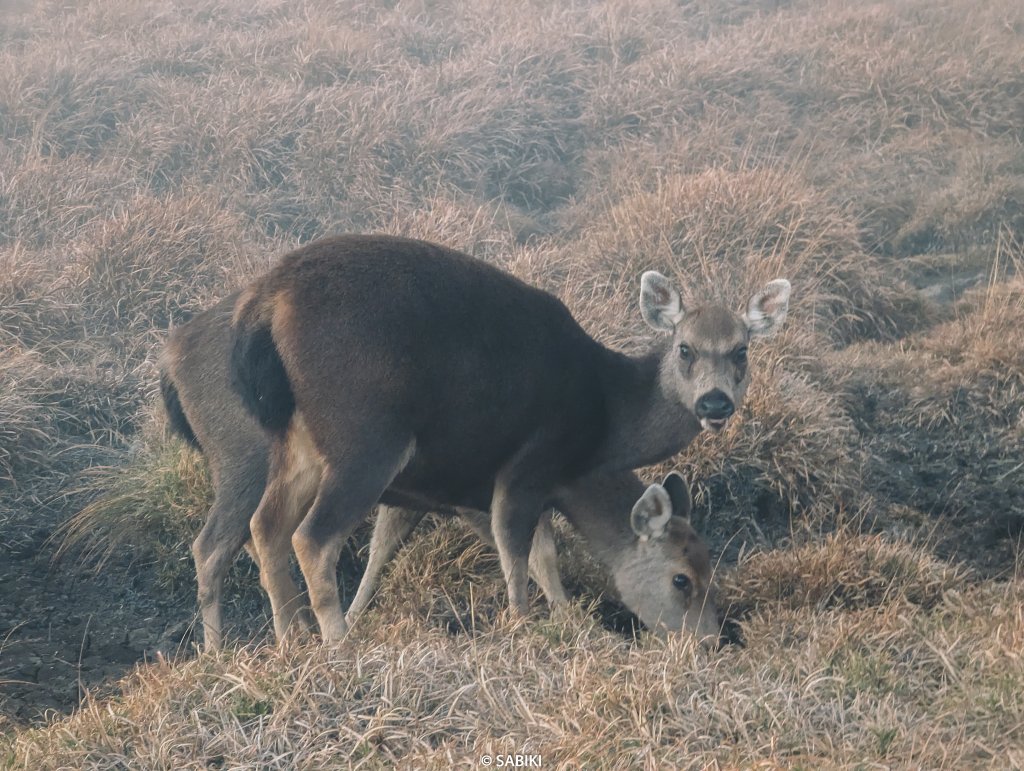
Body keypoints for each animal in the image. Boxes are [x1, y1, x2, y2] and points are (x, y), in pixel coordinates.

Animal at [159, 290, 720, 647]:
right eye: (681, 579)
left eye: (708, 561)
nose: (710, 643)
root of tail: (170, 364)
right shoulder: (476, 488)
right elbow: (531, 551)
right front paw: (569, 625)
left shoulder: (418, 494)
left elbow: (383, 548)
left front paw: (355, 617)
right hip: (245, 460)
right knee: (219, 544)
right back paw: (230, 650)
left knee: (252, 539)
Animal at [230, 234, 790, 643]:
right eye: (685, 349)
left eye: (741, 350)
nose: (710, 641)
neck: (603, 423)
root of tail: (265, 301)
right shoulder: (527, 465)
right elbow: (519, 554)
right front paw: (526, 629)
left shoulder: (450, 489)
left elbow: (527, 554)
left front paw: (571, 623)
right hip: (366, 440)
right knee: (311, 538)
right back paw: (339, 645)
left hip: (300, 444)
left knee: (265, 526)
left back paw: (289, 640)